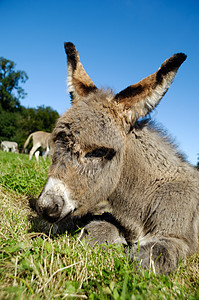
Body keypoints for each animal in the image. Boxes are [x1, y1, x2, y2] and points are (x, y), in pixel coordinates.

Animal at [36, 42, 199, 274]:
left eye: (98, 152)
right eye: (58, 141)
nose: (45, 207)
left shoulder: (177, 238)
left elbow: (147, 259)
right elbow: (93, 234)